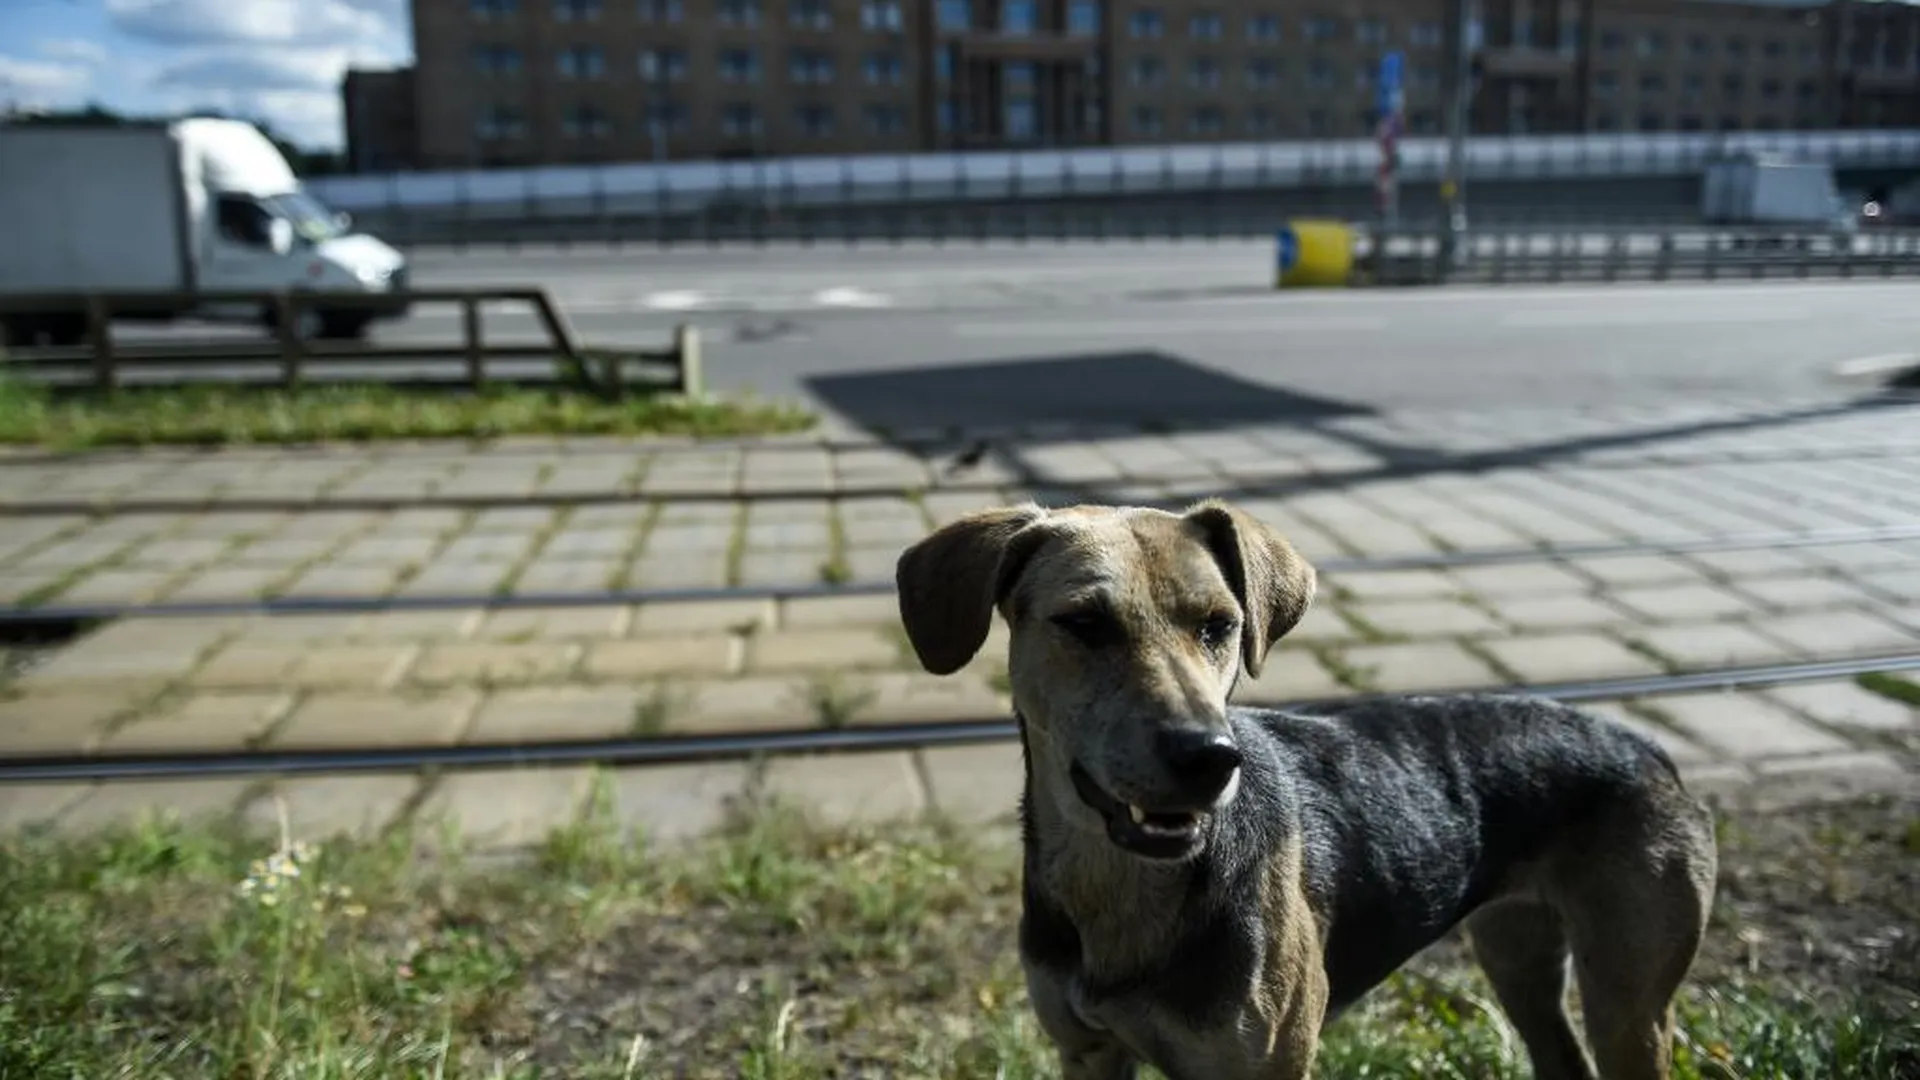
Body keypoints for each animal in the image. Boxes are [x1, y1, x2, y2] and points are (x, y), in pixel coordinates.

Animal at [890, 499, 1720, 1068]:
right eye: (1084, 623)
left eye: (1220, 625)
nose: (1208, 757)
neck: (1126, 889)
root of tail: (1651, 749)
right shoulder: (1088, 1054)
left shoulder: (1263, 1062)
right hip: (1518, 954)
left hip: (1628, 1000)